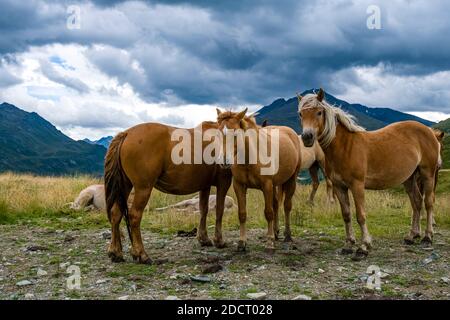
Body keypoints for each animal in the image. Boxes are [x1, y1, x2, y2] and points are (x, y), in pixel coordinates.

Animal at [104, 121, 232, 264]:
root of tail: (127, 133)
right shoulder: (223, 183)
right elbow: (219, 210)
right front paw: (219, 240)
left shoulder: (205, 185)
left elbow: (203, 210)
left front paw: (203, 238)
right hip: (143, 188)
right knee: (134, 216)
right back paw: (141, 254)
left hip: (125, 185)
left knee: (116, 213)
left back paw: (115, 252)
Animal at [216, 109, 300, 251]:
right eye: (218, 134)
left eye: (235, 134)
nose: (224, 161)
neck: (250, 158)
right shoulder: (239, 186)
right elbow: (242, 214)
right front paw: (242, 242)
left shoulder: (267, 185)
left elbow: (268, 213)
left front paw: (270, 242)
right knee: (276, 204)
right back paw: (275, 232)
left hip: (291, 180)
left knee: (287, 206)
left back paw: (287, 235)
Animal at [298, 87, 442, 260]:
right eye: (301, 114)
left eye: (319, 112)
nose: (307, 137)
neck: (345, 147)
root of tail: (429, 132)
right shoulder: (339, 187)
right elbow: (346, 215)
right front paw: (348, 244)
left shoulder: (357, 186)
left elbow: (360, 215)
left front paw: (363, 246)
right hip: (409, 178)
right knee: (417, 202)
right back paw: (412, 236)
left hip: (428, 175)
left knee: (428, 203)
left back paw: (427, 236)